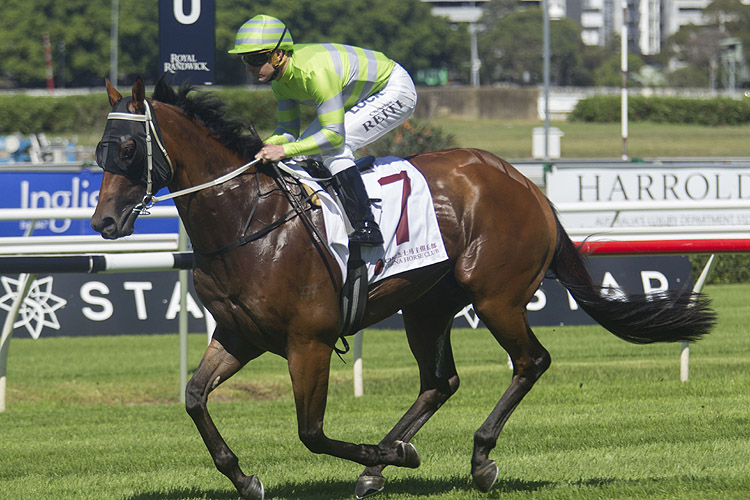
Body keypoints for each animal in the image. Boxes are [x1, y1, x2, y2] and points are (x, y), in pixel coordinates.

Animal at [91, 76, 720, 498]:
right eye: (100, 151)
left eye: (128, 149)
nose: (103, 223)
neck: (248, 222)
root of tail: (524, 181)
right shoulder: (240, 335)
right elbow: (195, 397)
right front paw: (245, 478)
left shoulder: (308, 342)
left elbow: (312, 432)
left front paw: (383, 452)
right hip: (427, 307)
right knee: (440, 382)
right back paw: (385, 464)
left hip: (496, 296)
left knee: (530, 361)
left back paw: (475, 459)